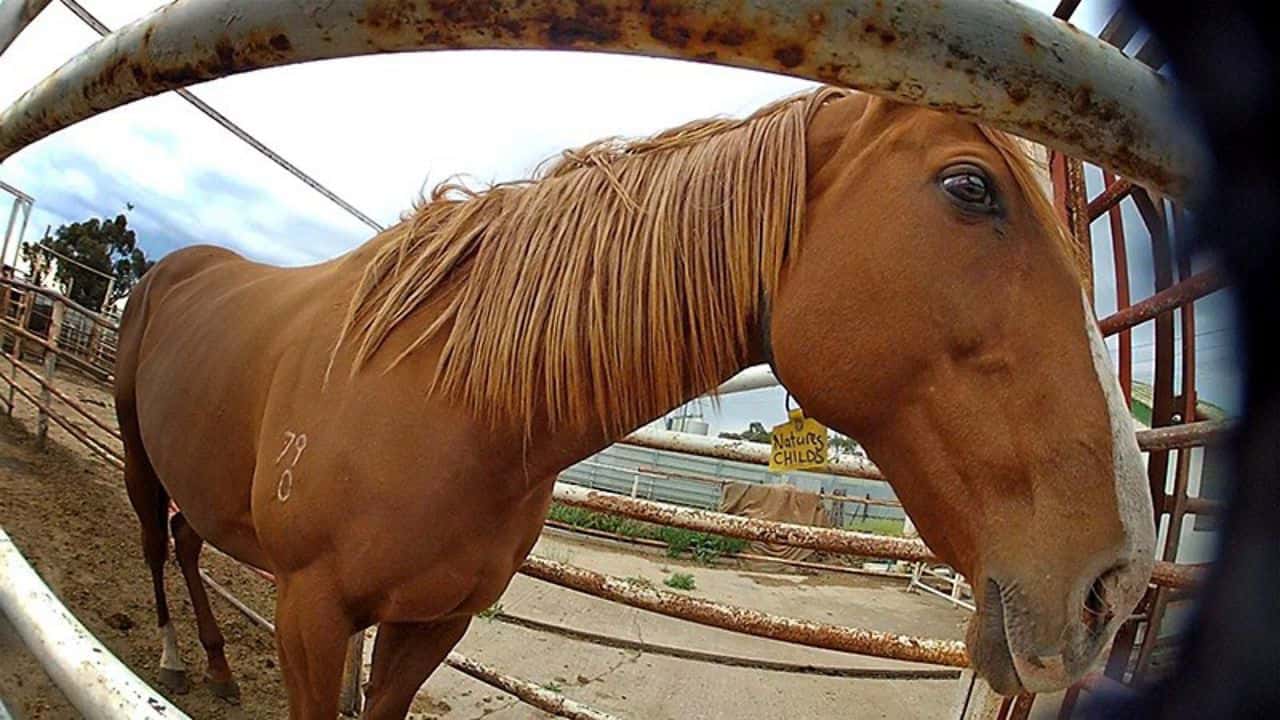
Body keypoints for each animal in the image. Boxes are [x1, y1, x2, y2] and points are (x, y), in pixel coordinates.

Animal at [117, 87, 1162, 712]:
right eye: (969, 186)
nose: (1116, 586)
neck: (443, 397)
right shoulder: (312, 614)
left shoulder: (433, 625)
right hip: (139, 462)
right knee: (156, 551)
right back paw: (171, 657)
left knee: (186, 544)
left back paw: (217, 667)